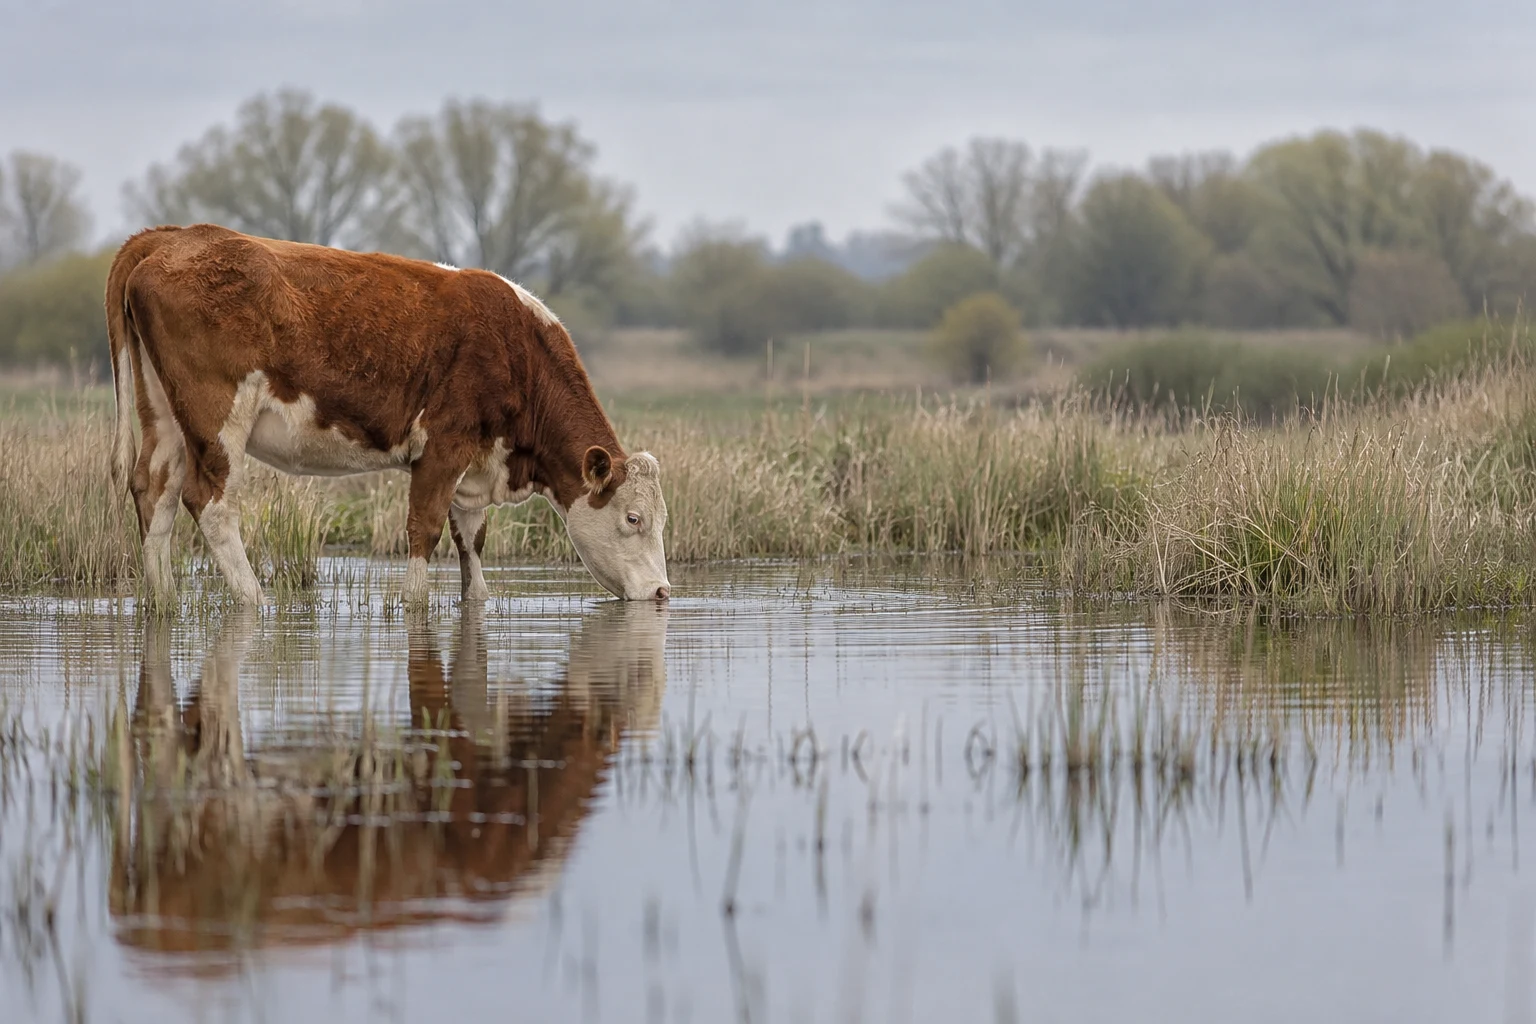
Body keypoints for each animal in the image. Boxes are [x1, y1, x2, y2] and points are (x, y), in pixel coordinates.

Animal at [104, 224, 670, 606]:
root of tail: (175, 236)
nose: (664, 592)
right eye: (633, 518)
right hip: (216, 416)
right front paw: (414, 604)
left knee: (155, 489)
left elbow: (472, 544)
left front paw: (476, 601)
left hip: (164, 414)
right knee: (211, 502)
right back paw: (253, 602)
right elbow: (424, 531)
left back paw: (163, 603)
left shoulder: (476, 469)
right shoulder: (443, 448)